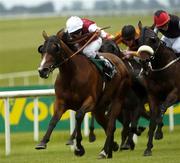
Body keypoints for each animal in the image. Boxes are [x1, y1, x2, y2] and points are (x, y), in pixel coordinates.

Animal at [35, 30, 131, 158]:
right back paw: (110, 149)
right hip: (100, 108)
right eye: (42, 49)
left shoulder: (90, 101)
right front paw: (43, 142)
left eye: (56, 49)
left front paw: (79, 147)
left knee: (110, 126)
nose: (42, 70)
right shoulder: (61, 102)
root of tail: (119, 60)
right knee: (106, 124)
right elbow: (54, 120)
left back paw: (104, 151)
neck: (72, 75)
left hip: (117, 100)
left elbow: (79, 116)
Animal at [137, 23, 179, 156]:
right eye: (138, 40)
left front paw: (159, 132)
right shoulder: (153, 96)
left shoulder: (176, 93)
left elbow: (161, 109)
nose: (144, 61)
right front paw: (148, 148)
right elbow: (153, 119)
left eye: (153, 39)